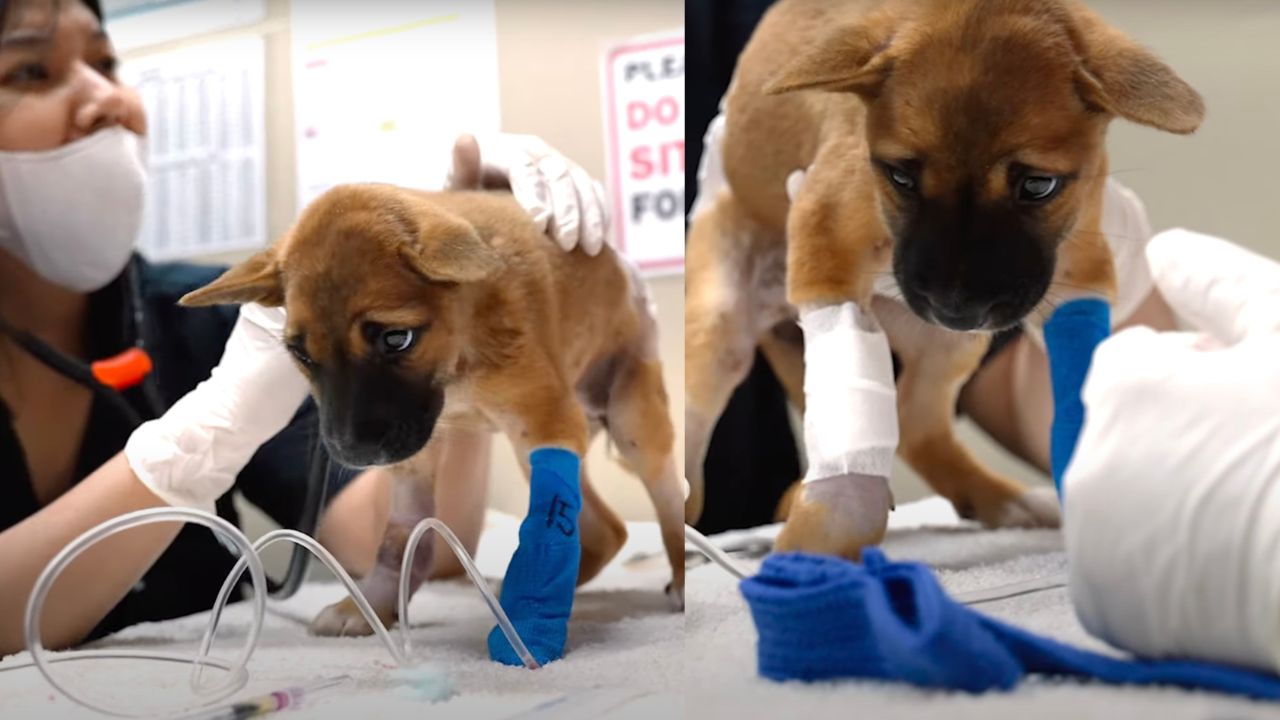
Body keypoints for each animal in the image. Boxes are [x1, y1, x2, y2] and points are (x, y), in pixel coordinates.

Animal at [183, 148, 680, 630]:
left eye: (395, 339)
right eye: (300, 353)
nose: (353, 454)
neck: (459, 355)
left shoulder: (547, 424)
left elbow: (545, 523)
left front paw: (529, 612)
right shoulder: (413, 457)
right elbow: (399, 541)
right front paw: (374, 605)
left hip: (631, 425)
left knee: (670, 501)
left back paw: (674, 583)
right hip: (538, 447)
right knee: (606, 530)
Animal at [686, 0, 1203, 556]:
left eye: (1038, 186)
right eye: (901, 177)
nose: (955, 310)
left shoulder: (1080, 272)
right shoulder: (825, 246)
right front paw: (833, 518)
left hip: (955, 347)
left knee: (916, 423)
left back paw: (1001, 499)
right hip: (720, 324)